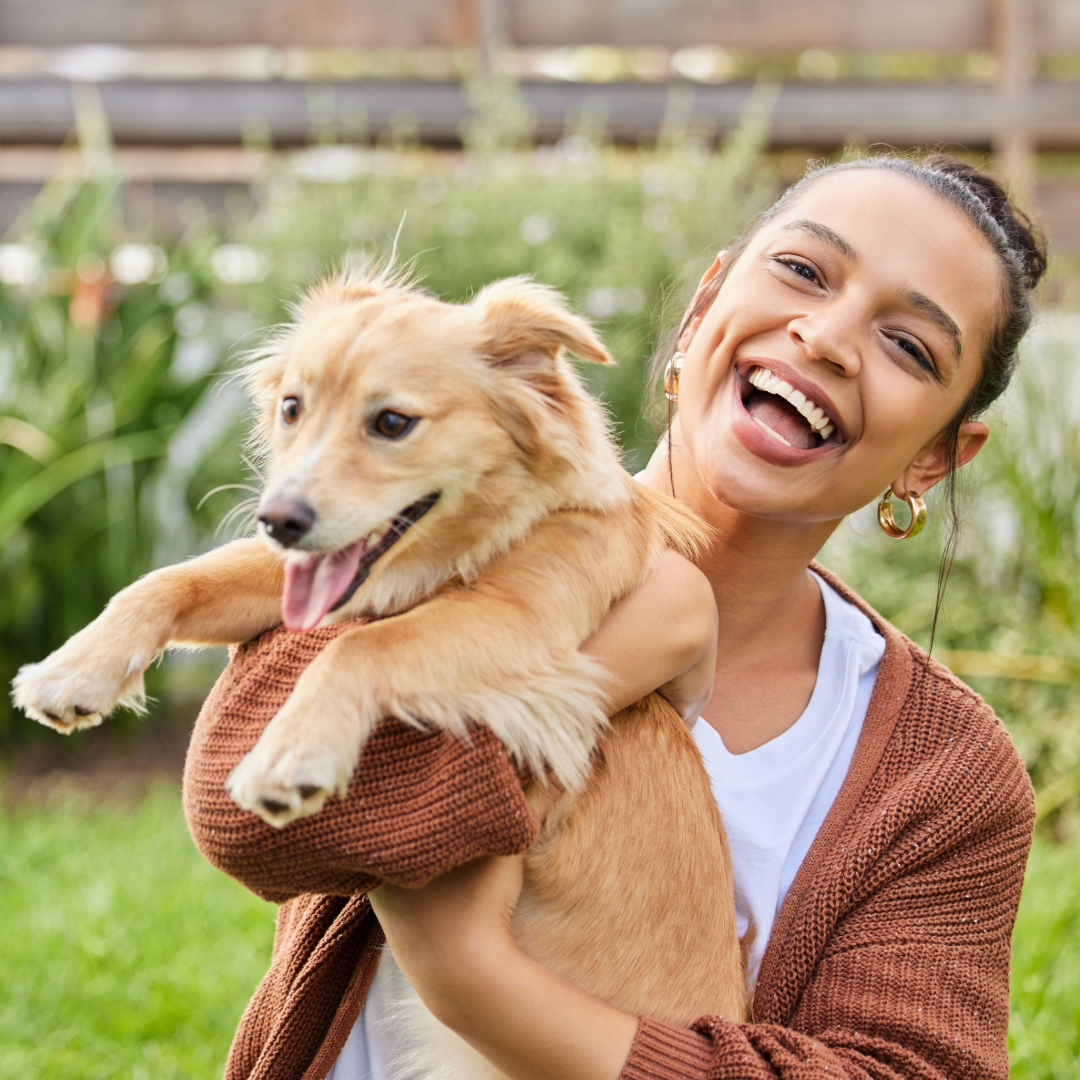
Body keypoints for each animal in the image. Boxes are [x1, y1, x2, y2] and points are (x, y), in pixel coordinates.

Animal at [12, 267, 747, 1071]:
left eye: (393, 423)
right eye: (293, 408)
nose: (278, 520)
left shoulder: (523, 622)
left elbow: (359, 648)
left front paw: (291, 756)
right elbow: (173, 578)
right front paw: (73, 669)